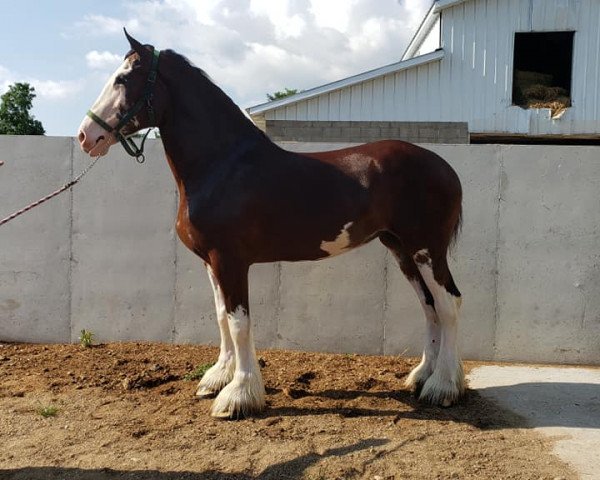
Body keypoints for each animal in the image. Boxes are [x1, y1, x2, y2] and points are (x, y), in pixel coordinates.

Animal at [78, 31, 464, 420]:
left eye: (123, 78)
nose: (85, 136)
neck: (222, 165)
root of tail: (445, 168)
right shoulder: (211, 262)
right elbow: (221, 316)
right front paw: (218, 378)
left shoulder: (230, 261)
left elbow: (239, 323)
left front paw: (238, 395)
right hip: (401, 250)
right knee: (429, 306)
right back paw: (421, 376)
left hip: (425, 249)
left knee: (448, 305)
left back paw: (443, 386)